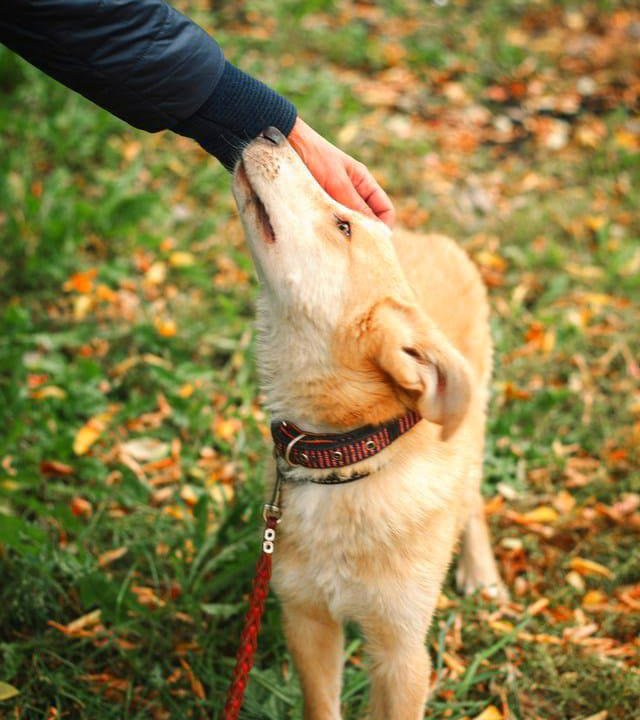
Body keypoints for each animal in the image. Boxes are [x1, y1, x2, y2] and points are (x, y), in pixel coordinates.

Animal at [232, 126, 508, 716]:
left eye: (343, 225)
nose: (271, 129)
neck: (342, 462)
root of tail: (427, 235)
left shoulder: (403, 654)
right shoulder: (306, 619)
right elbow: (322, 707)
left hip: (475, 422)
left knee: (472, 495)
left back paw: (482, 574)